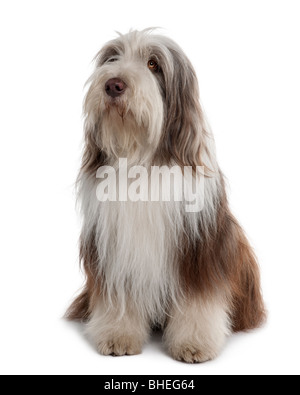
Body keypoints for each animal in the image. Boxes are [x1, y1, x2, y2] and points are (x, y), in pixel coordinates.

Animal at [67, 29, 266, 364]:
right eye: (112, 58)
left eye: (153, 64)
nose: (113, 84)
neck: (142, 159)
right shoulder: (115, 249)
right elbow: (117, 298)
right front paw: (118, 335)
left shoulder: (199, 249)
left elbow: (199, 300)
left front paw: (194, 344)